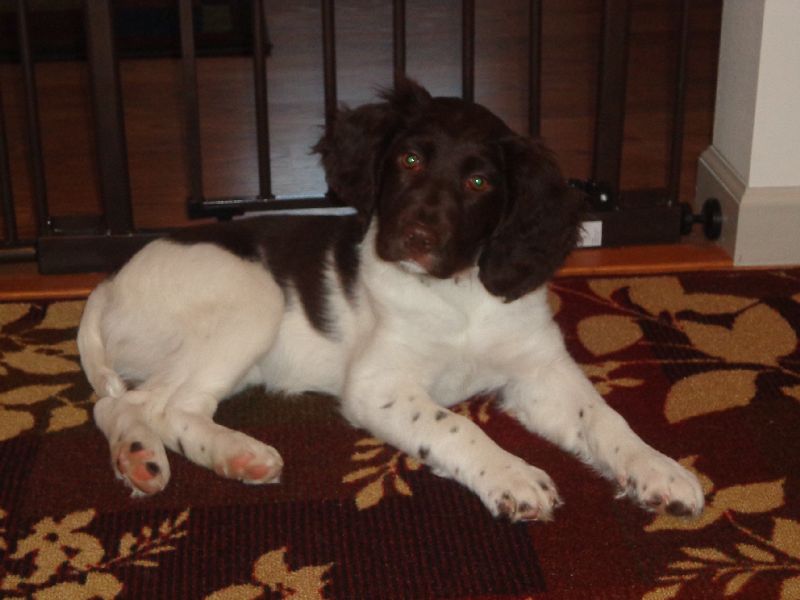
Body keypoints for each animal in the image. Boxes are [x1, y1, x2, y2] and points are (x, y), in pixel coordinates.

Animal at [77, 80, 704, 522]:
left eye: (479, 183)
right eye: (409, 160)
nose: (415, 238)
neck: (460, 292)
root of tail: (109, 285)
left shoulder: (540, 373)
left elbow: (603, 416)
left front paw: (658, 467)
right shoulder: (377, 385)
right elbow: (457, 426)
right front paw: (513, 475)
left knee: (151, 407)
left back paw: (196, 454)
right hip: (253, 297)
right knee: (140, 406)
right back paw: (175, 453)